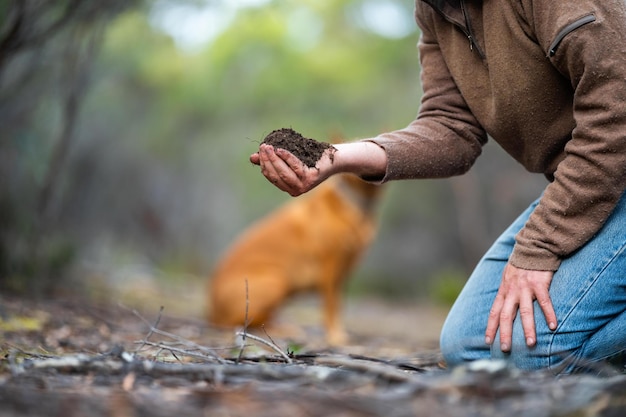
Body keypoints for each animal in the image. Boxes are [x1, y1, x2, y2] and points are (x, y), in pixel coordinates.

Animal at [207, 173, 380, 344]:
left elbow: (339, 306)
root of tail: (212, 310)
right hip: (275, 282)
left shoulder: (341, 275)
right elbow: (331, 307)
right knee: (242, 323)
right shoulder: (329, 269)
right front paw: (335, 336)